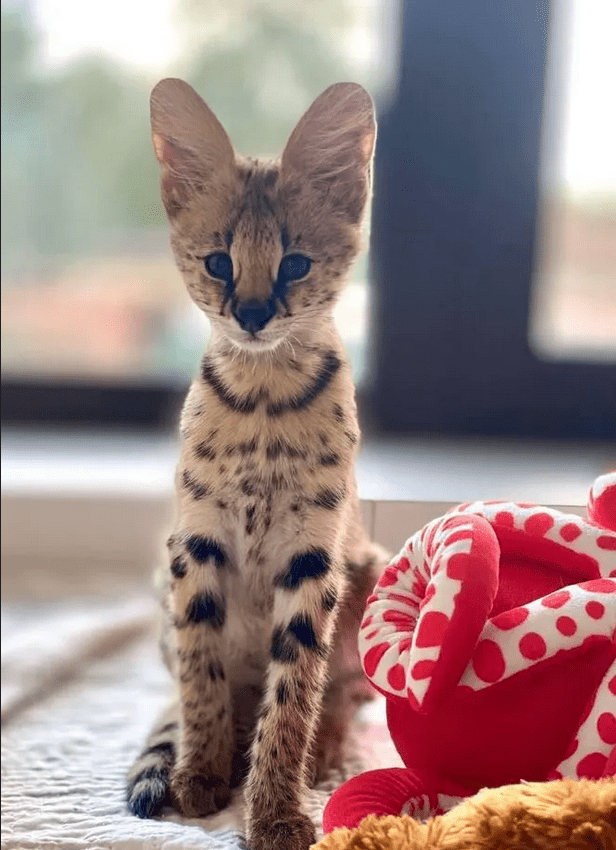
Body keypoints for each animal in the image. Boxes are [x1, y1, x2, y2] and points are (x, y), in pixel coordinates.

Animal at [126, 79, 390, 848]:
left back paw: (326, 753)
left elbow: (295, 690)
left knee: (340, 695)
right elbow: (201, 675)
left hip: (370, 575)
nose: (248, 314)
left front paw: (273, 806)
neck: (264, 399)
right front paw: (203, 776)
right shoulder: (195, 541)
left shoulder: (313, 557)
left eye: (294, 264)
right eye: (219, 261)